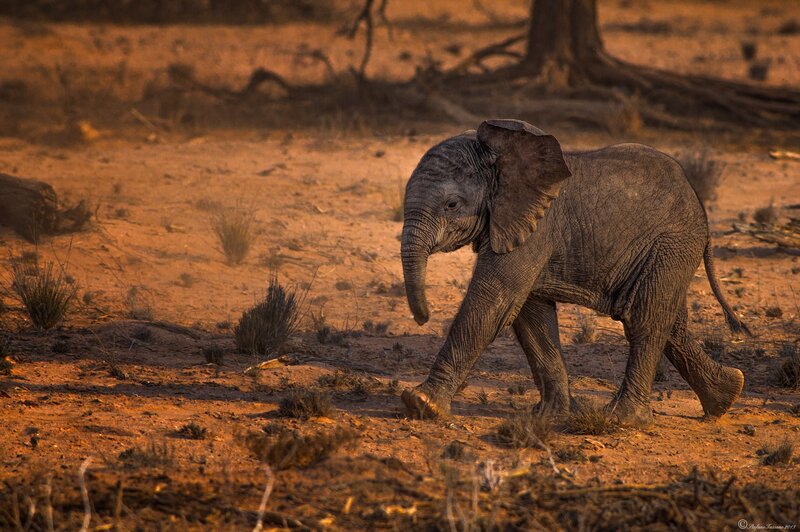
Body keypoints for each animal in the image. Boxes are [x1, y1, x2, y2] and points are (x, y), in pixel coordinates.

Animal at [399, 119, 747, 427]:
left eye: (452, 205)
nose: (424, 318)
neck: (500, 156)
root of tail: (700, 205)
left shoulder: (537, 227)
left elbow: (493, 303)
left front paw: (422, 404)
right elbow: (531, 316)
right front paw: (552, 416)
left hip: (671, 244)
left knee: (644, 319)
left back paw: (623, 419)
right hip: (669, 252)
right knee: (671, 322)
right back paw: (727, 395)